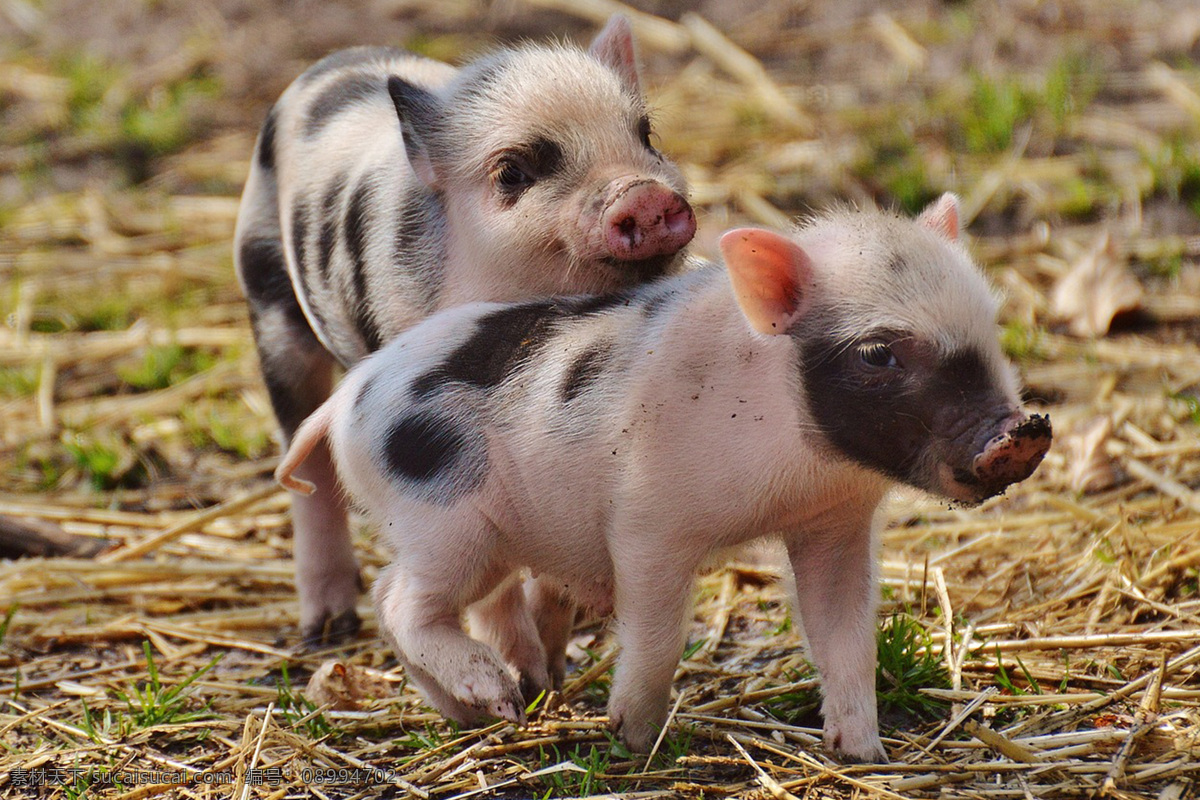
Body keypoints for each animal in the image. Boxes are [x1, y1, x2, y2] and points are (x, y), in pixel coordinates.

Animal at [232, 16, 696, 650]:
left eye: (646, 134)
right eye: (513, 171)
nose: (642, 193)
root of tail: (330, 61)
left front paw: (552, 647)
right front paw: (521, 668)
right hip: (269, 298)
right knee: (306, 461)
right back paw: (326, 629)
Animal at [274, 195, 1052, 762]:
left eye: (990, 325)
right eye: (879, 354)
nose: (1022, 433)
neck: (799, 470)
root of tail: (347, 399)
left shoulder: (834, 527)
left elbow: (846, 639)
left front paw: (863, 755)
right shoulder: (647, 523)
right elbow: (657, 636)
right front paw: (630, 740)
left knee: (400, 603)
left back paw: (478, 713)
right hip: (445, 520)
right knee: (401, 601)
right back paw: (498, 697)